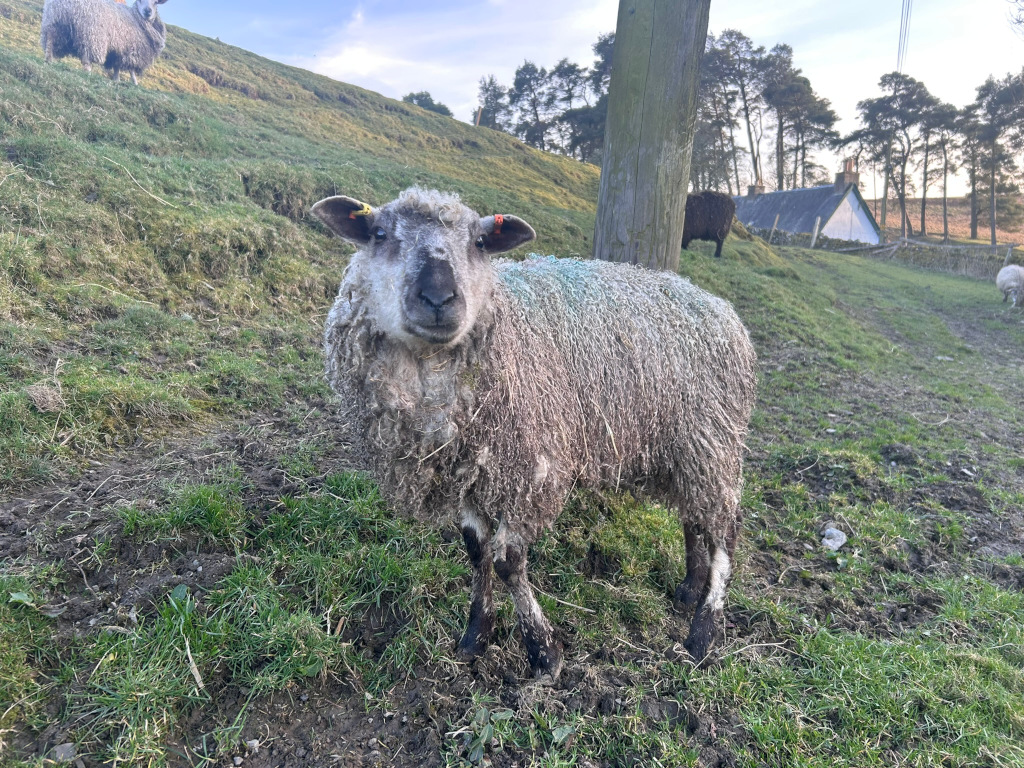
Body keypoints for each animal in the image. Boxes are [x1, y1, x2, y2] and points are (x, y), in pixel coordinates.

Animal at [41, 0, 169, 85]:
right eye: (140, 1)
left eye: (155, 2)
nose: (148, 11)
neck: (136, 18)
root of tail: (63, 4)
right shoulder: (133, 49)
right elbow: (131, 69)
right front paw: (135, 83)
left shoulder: (119, 49)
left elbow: (117, 65)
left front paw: (116, 80)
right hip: (90, 32)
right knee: (86, 57)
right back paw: (88, 73)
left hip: (54, 22)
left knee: (50, 41)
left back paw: (48, 59)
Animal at [311, 187, 757, 679]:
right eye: (379, 234)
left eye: (480, 242)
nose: (439, 297)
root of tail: (722, 308)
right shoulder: (468, 468)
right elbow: (476, 550)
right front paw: (476, 635)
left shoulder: (532, 468)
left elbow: (507, 561)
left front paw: (544, 652)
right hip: (681, 448)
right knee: (694, 518)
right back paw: (689, 589)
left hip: (712, 440)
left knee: (725, 532)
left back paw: (703, 631)